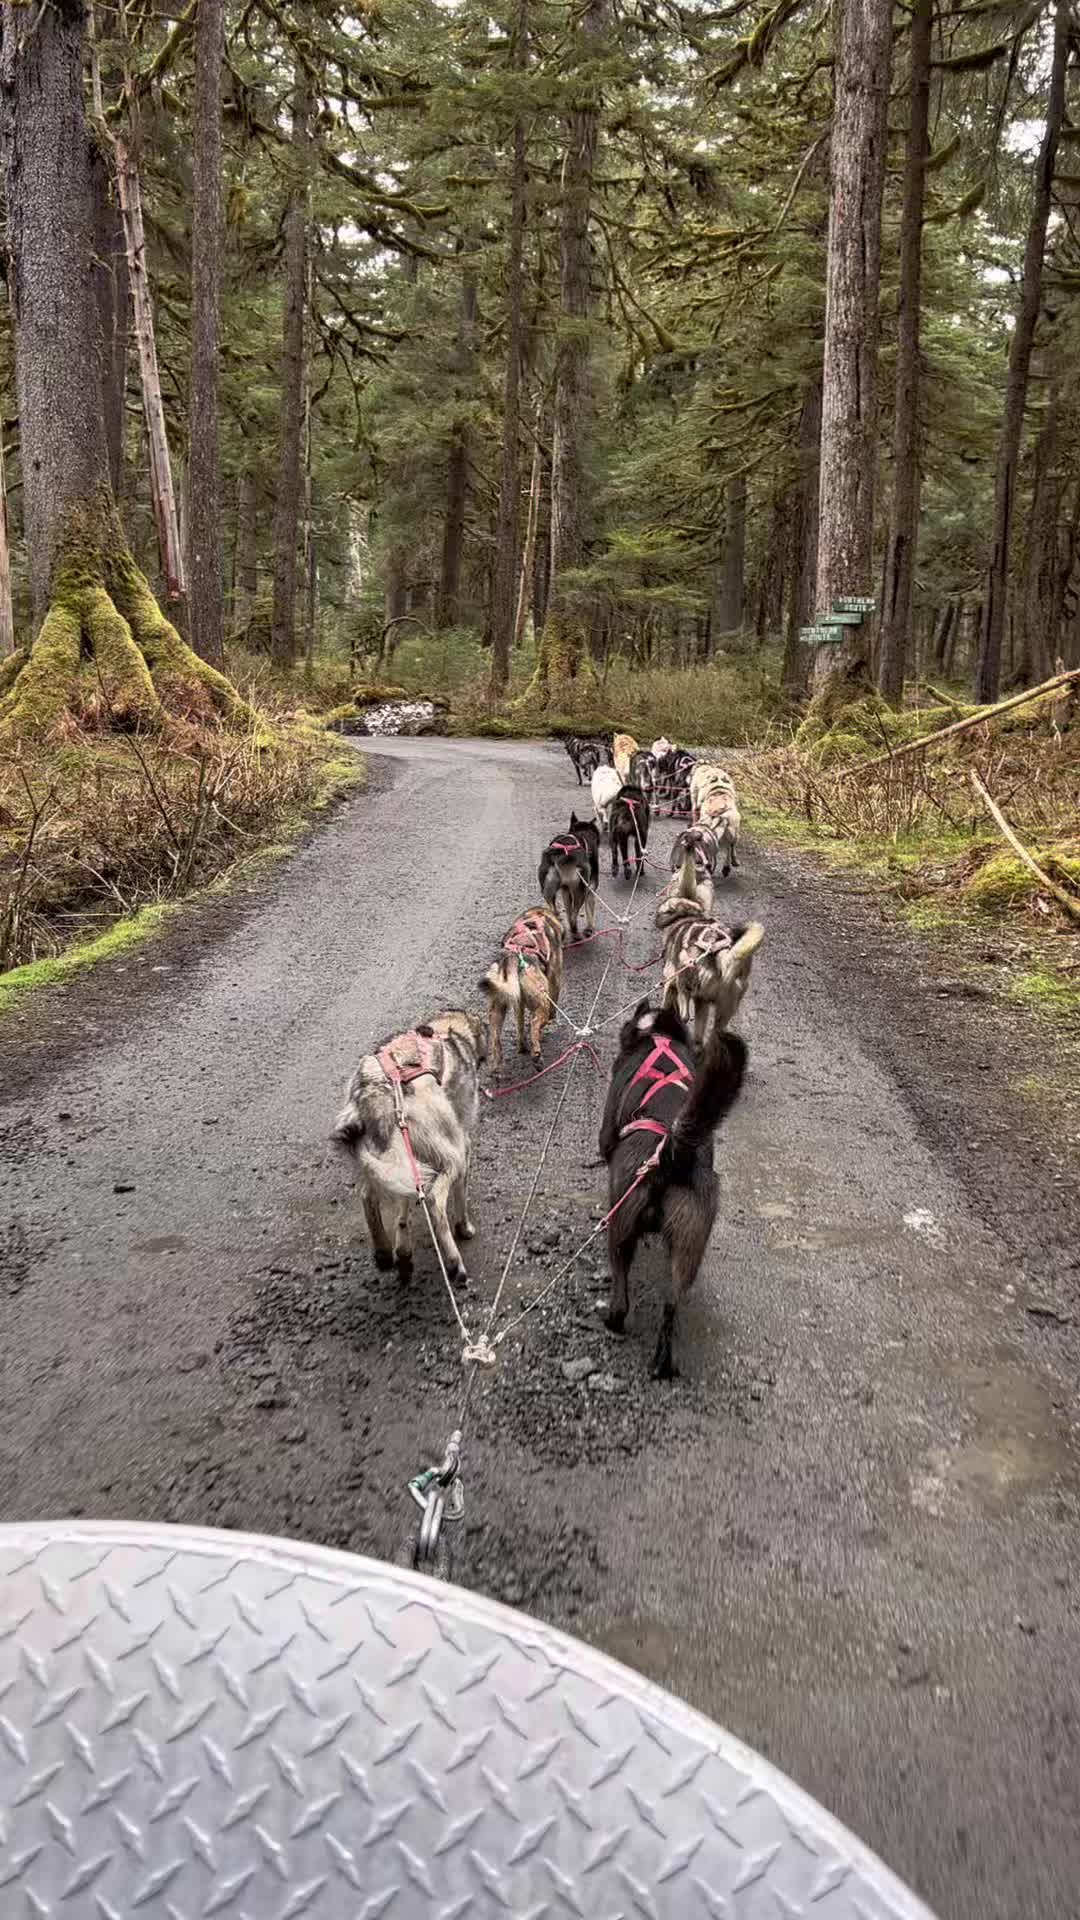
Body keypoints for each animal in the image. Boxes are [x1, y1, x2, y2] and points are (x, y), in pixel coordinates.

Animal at [330, 1006, 486, 1290]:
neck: (445, 1030)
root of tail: (373, 1094)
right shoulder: (463, 1144)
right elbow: (460, 1197)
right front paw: (464, 1227)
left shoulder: (405, 1162)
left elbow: (403, 1210)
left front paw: (402, 1252)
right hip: (451, 1155)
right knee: (435, 1201)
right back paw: (454, 1264)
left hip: (385, 1159)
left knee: (367, 1195)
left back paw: (383, 1251)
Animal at [478, 902, 564, 1075]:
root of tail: (513, 956)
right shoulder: (555, 977)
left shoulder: (518, 1002)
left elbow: (519, 1023)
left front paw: (521, 1044)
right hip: (541, 1003)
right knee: (535, 1024)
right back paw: (536, 1054)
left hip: (497, 1009)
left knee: (496, 1038)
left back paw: (497, 1066)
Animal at [591, 990, 745, 1382]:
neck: (657, 1037)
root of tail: (671, 1154)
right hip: (690, 1242)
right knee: (671, 1305)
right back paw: (663, 1362)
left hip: (621, 1226)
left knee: (621, 1290)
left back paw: (613, 1321)